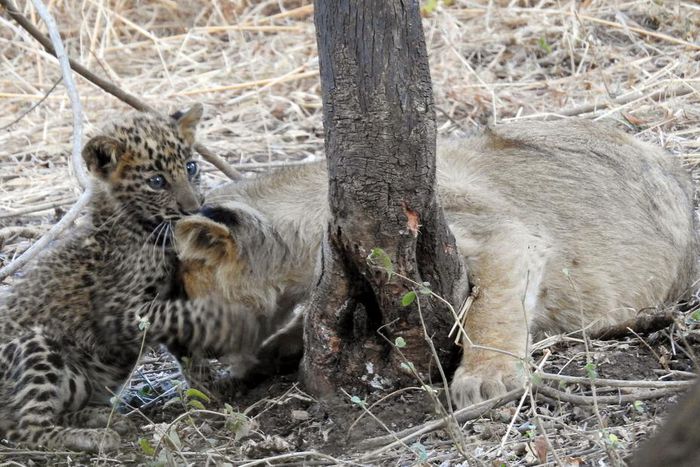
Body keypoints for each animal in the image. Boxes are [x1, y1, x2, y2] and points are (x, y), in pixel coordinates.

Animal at [0, 105, 261, 452]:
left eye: (190, 167)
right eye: (156, 181)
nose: (195, 208)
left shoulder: (172, 292)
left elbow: (185, 338)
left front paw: (208, 388)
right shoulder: (121, 311)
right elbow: (183, 314)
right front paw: (233, 319)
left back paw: (100, 418)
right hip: (35, 344)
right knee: (25, 428)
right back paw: (94, 436)